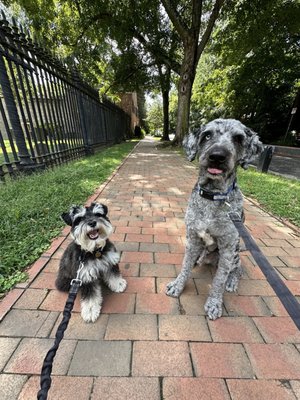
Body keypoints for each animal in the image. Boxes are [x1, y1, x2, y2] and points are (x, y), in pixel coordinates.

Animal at [166, 120, 262, 320]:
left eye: (238, 138)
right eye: (207, 135)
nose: (217, 156)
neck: (213, 196)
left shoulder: (227, 248)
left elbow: (219, 279)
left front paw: (214, 304)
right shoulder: (193, 239)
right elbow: (185, 266)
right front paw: (178, 285)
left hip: (235, 254)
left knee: (238, 269)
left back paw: (232, 281)